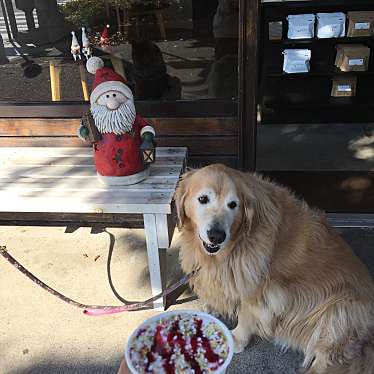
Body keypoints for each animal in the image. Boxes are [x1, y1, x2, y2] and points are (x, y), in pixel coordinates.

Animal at [175, 164, 374, 374]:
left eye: (233, 205)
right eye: (203, 199)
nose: (216, 236)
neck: (236, 243)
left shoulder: (260, 289)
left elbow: (245, 314)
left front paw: (237, 339)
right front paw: (213, 306)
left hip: (339, 314)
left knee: (326, 359)